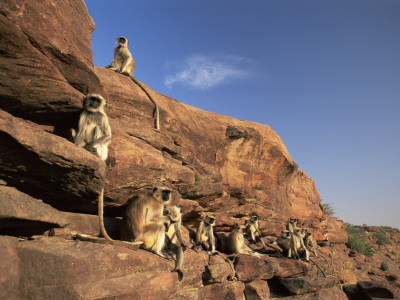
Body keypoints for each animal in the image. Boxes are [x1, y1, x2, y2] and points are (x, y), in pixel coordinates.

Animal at [70, 94, 112, 241]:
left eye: (97, 100)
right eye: (92, 99)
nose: (93, 103)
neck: (94, 113)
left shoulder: (103, 116)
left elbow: (108, 135)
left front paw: (89, 147)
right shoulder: (84, 113)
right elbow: (81, 130)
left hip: (103, 150)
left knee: (98, 128)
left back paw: (93, 151)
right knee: (76, 130)